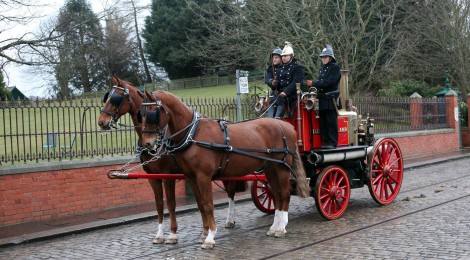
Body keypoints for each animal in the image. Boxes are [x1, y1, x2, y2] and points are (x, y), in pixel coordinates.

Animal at [97, 75, 244, 244]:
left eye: (116, 98)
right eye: (107, 97)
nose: (101, 121)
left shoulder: (168, 175)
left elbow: (172, 203)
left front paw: (173, 233)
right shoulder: (153, 177)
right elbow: (160, 204)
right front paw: (160, 234)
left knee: (231, 192)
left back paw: (229, 220)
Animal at [138, 90, 310, 249]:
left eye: (153, 113)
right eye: (141, 114)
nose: (147, 144)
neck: (192, 133)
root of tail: (287, 125)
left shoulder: (203, 177)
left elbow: (208, 205)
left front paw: (210, 237)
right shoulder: (191, 177)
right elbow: (201, 204)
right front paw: (205, 234)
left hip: (282, 168)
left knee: (285, 193)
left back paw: (281, 228)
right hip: (271, 168)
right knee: (277, 194)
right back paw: (275, 227)